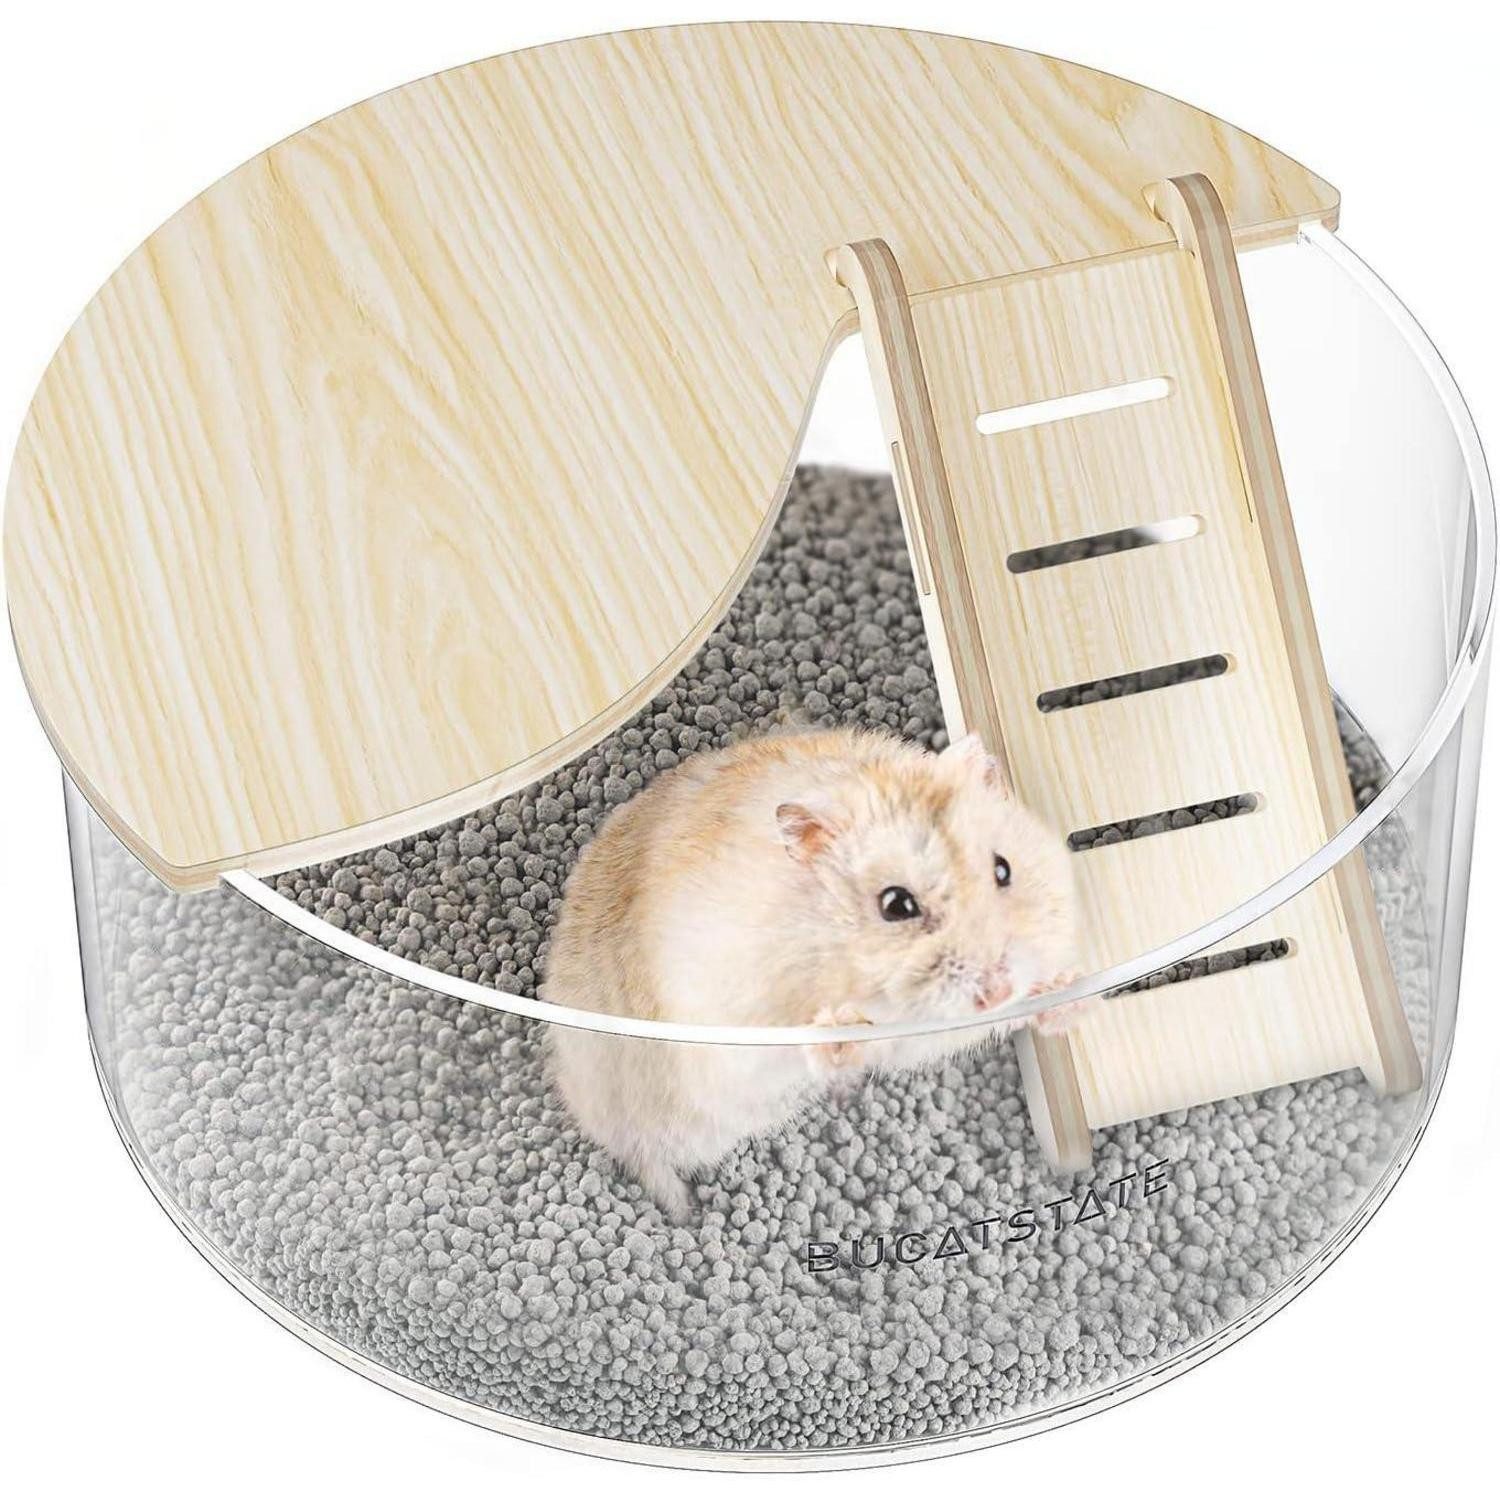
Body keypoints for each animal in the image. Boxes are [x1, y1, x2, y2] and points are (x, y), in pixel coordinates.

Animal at [543, 727, 1077, 1219]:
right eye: (895, 905)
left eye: (1004, 869)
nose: (998, 991)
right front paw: (839, 1036)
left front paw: (1063, 998)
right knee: (649, 1162)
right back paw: (684, 1213)